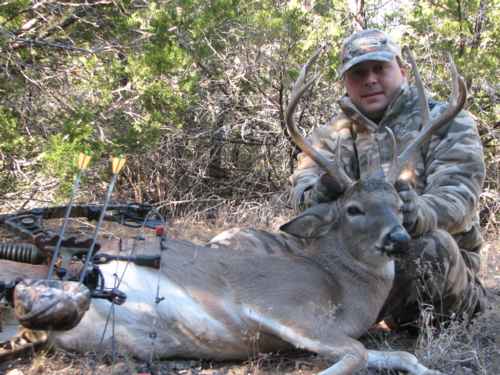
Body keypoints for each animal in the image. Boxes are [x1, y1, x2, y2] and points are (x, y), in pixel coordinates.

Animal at [0, 47, 464, 375]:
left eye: (399, 205)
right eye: (353, 208)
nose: (398, 238)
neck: (342, 288)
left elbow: (402, 356)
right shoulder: (280, 303)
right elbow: (357, 353)